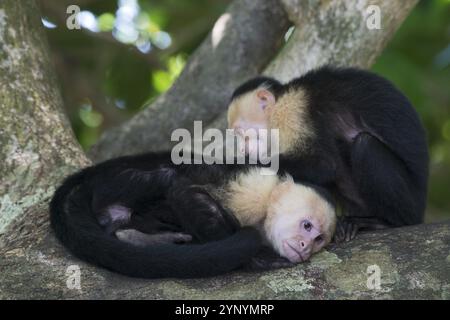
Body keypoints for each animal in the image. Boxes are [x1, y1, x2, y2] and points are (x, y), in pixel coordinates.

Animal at [51, 151, 336, 278]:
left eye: (319, 239)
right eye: (307, 226)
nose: (305, 246)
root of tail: (92, 174)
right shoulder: (252, 191)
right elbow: (182, 192)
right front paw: (256, 260)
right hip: (113, 185)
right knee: (168, 178)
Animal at [229, 65, 428, 242]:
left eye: (241, 134)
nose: (242, 148)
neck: (281, 101)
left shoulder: (292, 111)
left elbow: (325, 164)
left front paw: (240, 161)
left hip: (411, 203)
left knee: (365, 145)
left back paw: (387, 222)